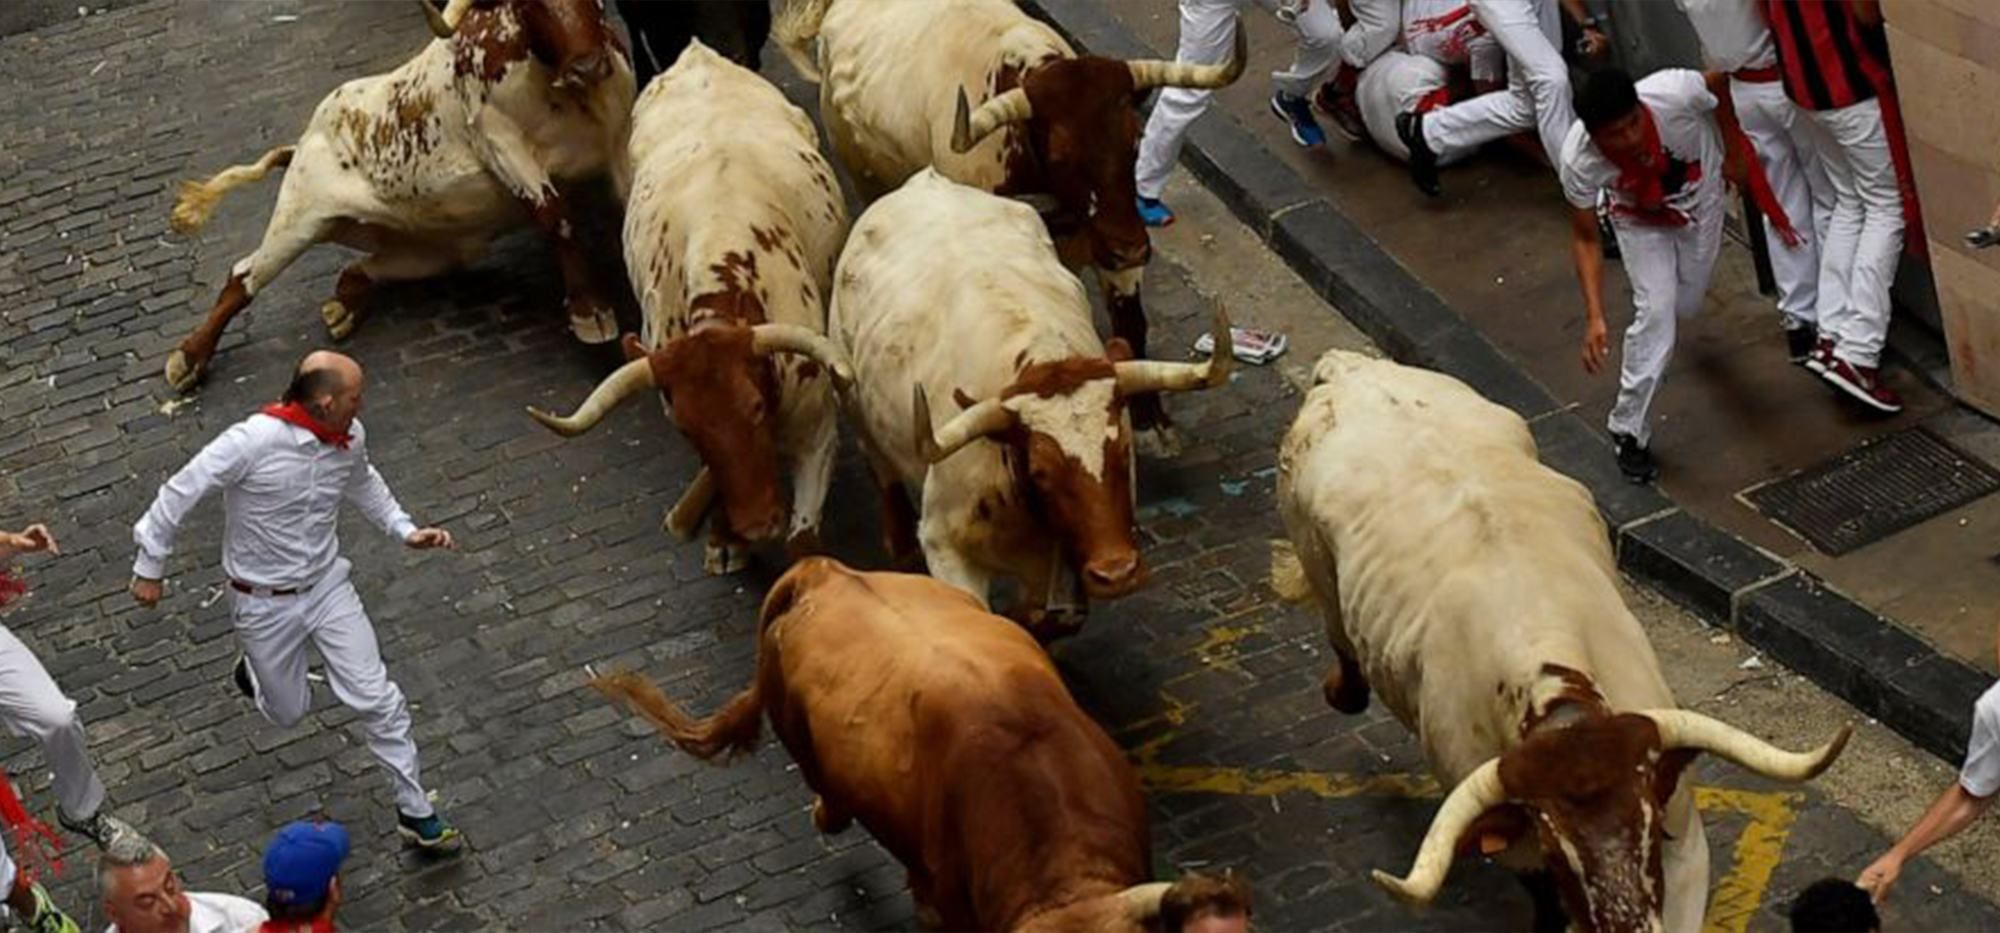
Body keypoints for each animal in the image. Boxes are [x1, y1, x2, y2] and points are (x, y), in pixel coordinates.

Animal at [162, 0, 632, 392]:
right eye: (529, 3)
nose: (587, 64)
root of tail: (302, 142)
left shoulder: (619, 140)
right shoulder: (502, 143)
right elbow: (555, 215)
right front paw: (590, 311)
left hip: (437, 249)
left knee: (358, 269)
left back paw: (343, 307)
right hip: (299, 219)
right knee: (242, 277)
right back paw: (188, 359)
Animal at [828, 171, 1232, 636]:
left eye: (1122, 451)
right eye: (1041, 472)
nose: (1117, 573)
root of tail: (923, 181)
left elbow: (1049, 617)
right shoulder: (944, 543)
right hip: (852, 399)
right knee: (881, 463)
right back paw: (898, 541)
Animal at [1272, 350, 1848, 933]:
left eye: (1646, 828)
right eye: (1558, 846)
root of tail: (1350, 369)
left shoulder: (1683, 836)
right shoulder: (1519, 847)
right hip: (1316, 562)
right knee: (1341, 641)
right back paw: (1340, 691)